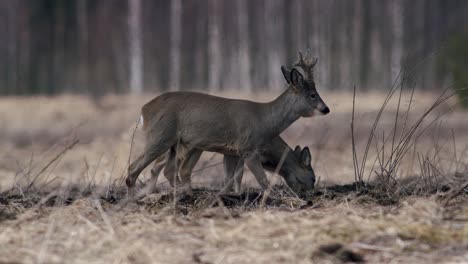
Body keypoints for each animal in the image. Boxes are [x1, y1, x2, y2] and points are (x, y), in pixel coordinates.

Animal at [150, 137, 316, 193]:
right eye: (313, 178)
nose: (311, 193)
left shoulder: (234, 153)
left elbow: (233, 175)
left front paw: (234, 192)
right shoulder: (246, 152)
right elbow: (238, 175)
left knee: (156, 166)